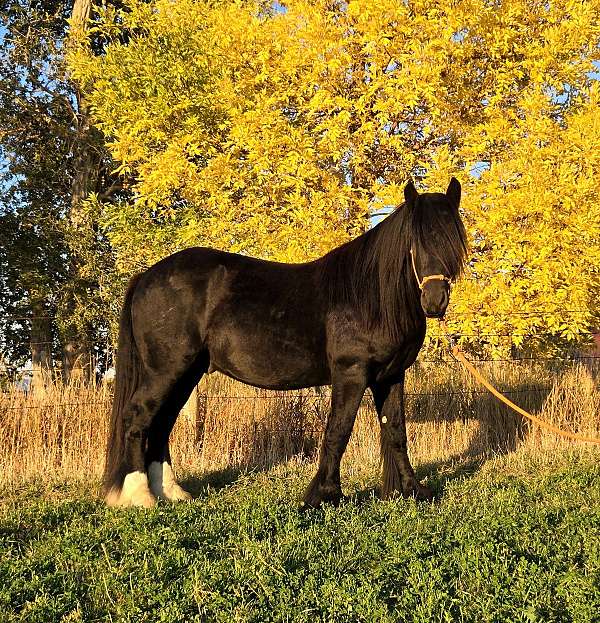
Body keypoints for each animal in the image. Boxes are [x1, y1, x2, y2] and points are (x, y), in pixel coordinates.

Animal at [103, 179, 468, 508]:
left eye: (454, 240)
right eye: (416, 243)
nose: (434, 302)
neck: (370, 296)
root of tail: (146, 276)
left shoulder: (390, 376)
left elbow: (395, 433)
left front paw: (413, 491)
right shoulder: (351, 373)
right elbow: (338, 431)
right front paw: (322, 496)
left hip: (186, 373)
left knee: (161, 423)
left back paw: (172, 492)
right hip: (165, 371)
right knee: (137, 417)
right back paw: (140, 496)